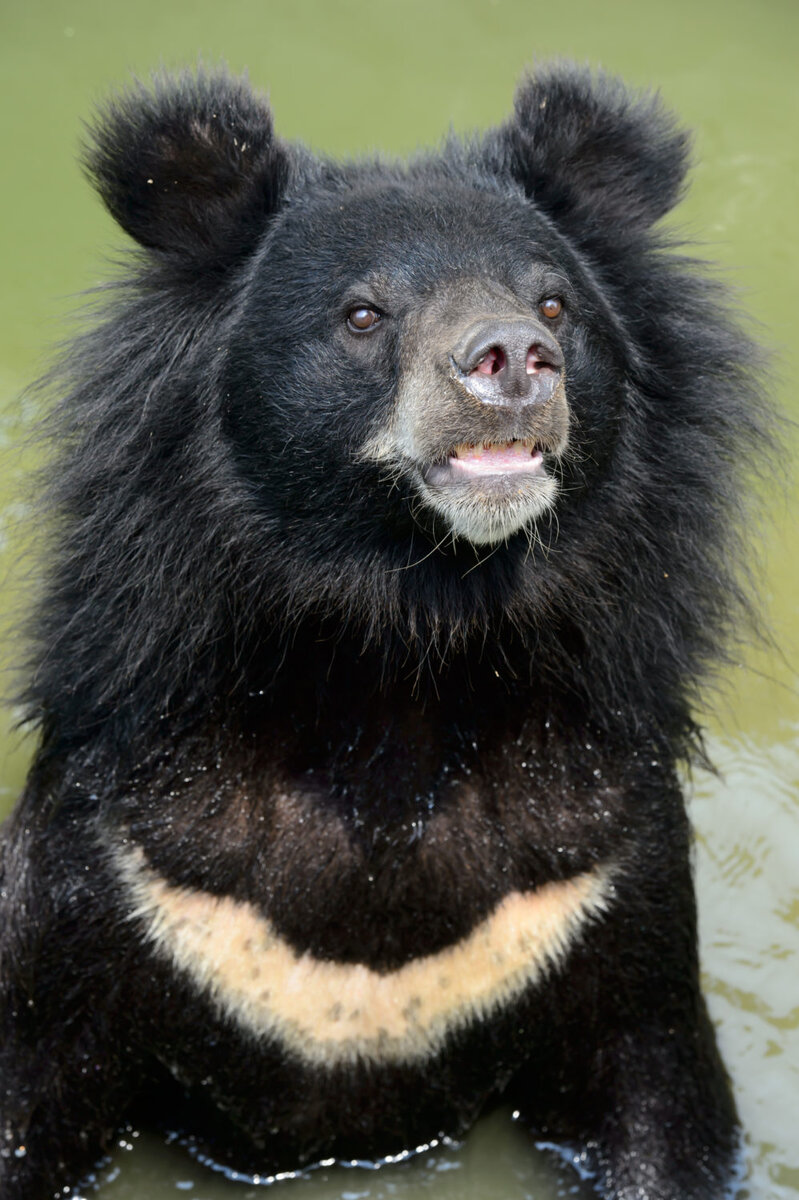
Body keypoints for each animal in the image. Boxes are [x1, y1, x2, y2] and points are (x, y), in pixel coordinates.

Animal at [0, 63, 767, 1200]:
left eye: (554, 302)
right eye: (362, 314)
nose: (513, 358)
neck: (405, 648)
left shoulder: (607, 871)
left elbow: (658, 1095)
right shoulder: (112, 863)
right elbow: (29, 1073)